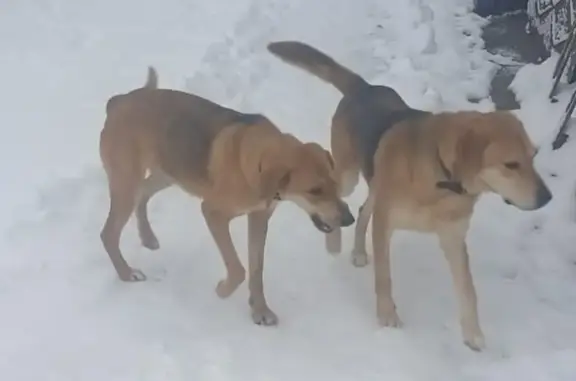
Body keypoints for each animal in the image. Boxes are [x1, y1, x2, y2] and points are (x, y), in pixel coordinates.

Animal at [99, 67, 356, 326]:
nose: (349, 220)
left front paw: (260, 310)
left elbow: (256, 269)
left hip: (167, 174)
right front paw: (223, 290)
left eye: (335, 185)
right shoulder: (213, 213)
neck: (254, 162)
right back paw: (127, 273)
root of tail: (118, 102)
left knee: (143, 195)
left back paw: (148, 237)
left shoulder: (259, 217)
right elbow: (238, 269)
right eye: (314, 190)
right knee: (108, 233)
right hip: (127, 184)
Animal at [268, 40, 552, 348]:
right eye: (511, 164)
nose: (547, 198)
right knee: (336, 197)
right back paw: (334, 241)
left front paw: (473, 333)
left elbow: (468, 290)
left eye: (534, 156)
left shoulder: (453, 238)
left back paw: (358, 251)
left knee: (363, 210)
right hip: (348, 176)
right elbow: (384, 277)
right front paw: (387, 317)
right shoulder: (385, 225)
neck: (442, 179)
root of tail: (364, 87)